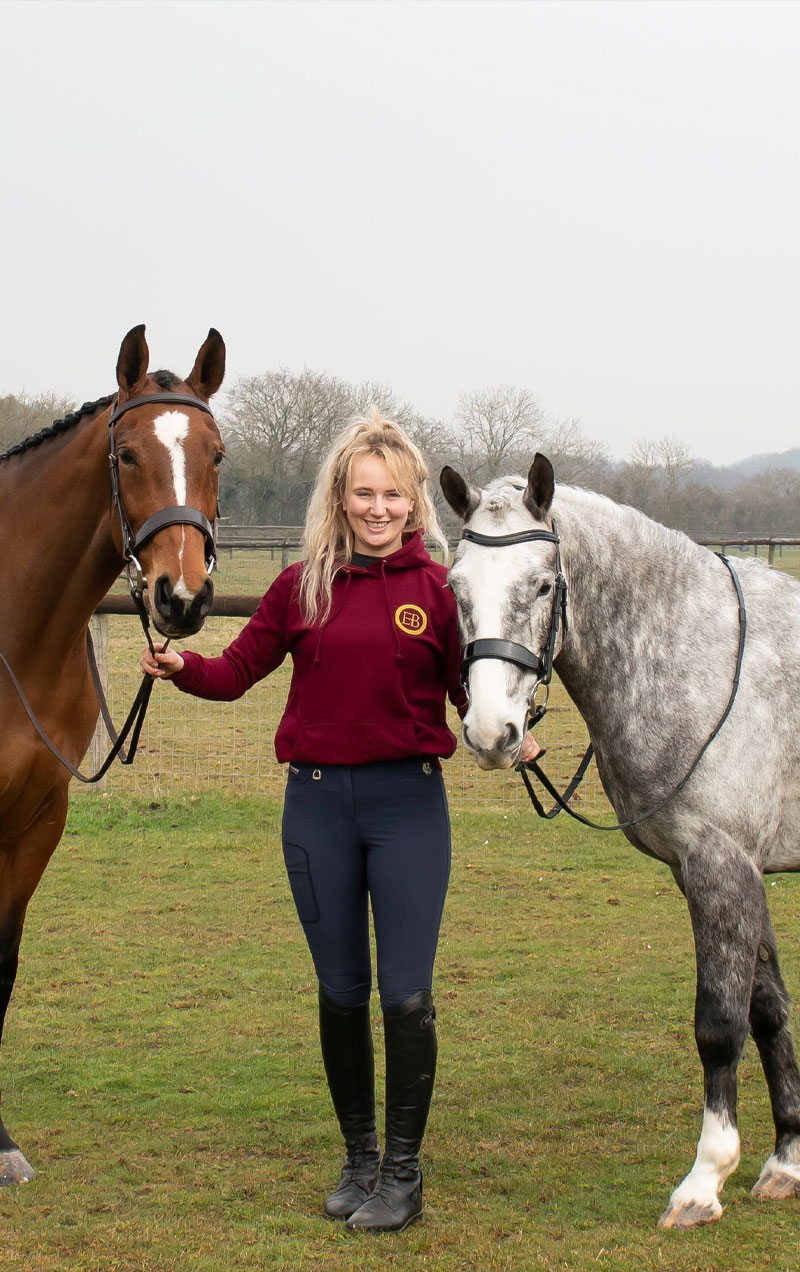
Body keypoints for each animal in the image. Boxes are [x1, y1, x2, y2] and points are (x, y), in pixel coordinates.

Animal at [440, 452, 798, 1226]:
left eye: (544, 585)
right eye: (455, 588)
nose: (490, 733)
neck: (698, 654)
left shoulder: (721, 866)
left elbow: (720, 1024)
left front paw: (703, 1181)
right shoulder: (731, 871)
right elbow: (768, 1010)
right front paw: (786, 1160)